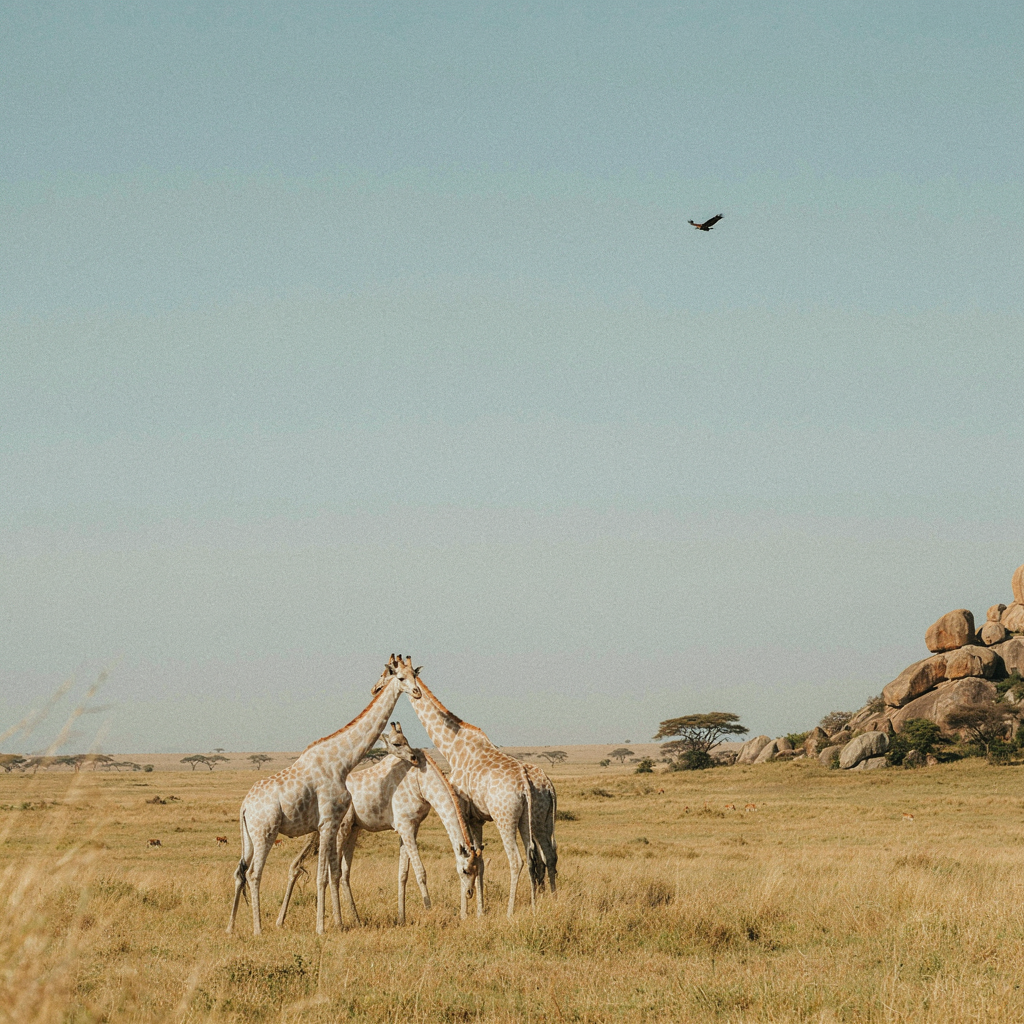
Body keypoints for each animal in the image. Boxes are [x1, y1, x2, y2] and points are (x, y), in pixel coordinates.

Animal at [226, 659, 421, 936]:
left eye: (415, 674)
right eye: (400, 678)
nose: (417, 692)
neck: (342, 762)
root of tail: (244, 806)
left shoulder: (335, 823)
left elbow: (335, 873)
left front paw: (339, 923)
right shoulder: (327, 822)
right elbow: (322, 876)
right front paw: (321, 927)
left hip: (249, 837)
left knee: (239, 872)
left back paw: (231, 927)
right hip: (265, 832)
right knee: (254, 874)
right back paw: (258, 929)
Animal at [275, 723, 483, 926]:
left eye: (476, 870)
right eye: (465, 870)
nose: (469, 893)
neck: (423, 783)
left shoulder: (410, 827)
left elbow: (403, 873)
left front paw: (401, 918)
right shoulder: (406, 826)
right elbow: (420, 871)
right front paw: (429, 912)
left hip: (351, 829)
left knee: (335, 871)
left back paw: (354, 920)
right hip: (341, 828)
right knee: (329, 870)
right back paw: (333, 921)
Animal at [394, 655, 549, 918]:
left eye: (398, 675)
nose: (415, 692)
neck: (451, 746)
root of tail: (525, 785)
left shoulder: (462, 812)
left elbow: (464, 859)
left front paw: (464, 913)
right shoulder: (477, 819)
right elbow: (480, 861)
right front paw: (479, 911)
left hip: (504, 817)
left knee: (516, 859)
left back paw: (510, 913)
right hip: (525, 818)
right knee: (532, 858)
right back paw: (534, 908)